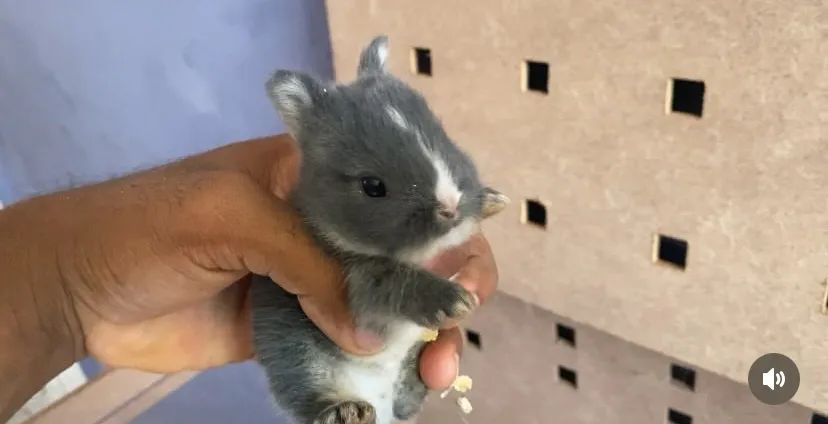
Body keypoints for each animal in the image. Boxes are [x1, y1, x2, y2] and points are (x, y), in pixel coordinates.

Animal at [250, 35, 508, 424]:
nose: (451, 208)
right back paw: (347, 411)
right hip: (301, 362)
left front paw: (492, 201)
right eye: (372, 186)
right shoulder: (360, 283)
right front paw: (455, 301)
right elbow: (395, 282)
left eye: (443, 138)